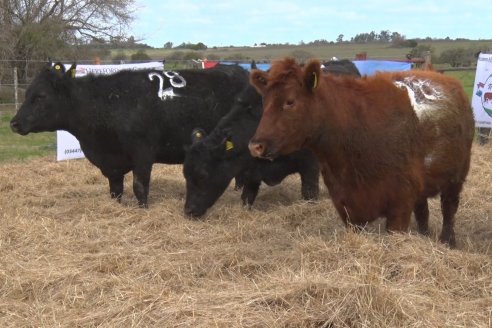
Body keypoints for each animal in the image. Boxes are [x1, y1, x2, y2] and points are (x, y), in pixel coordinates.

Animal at [10, 61, 250, 206]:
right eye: (27, 93)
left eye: (40, 96)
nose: (14, 123)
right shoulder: (111, 162)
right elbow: (115, 189)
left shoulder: (143, 152)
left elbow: (140, 186)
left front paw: (143, 209)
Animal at [183, 84, 320, 218]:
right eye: (185, 174)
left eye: (203, 175)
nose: (189, 211)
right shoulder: (252, 171)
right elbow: (247, 197)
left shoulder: (310, 164)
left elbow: (310, 192)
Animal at [248, 57, 474, 246]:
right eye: (264, 101)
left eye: (290, 101)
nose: (255, 145)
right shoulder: (347, 207)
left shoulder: (399, 207)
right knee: (423, 211)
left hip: (455, 178)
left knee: (449, 210)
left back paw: (448, 241)